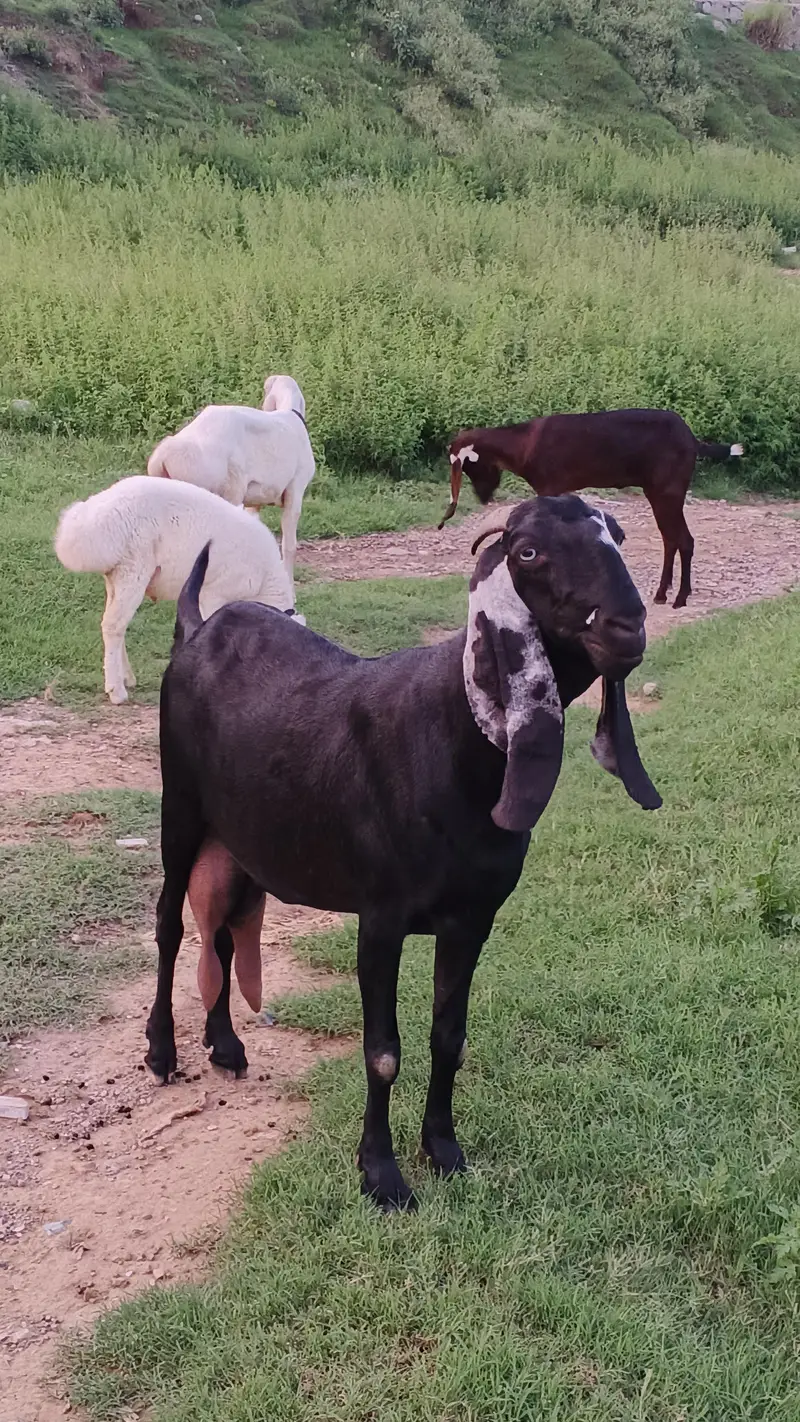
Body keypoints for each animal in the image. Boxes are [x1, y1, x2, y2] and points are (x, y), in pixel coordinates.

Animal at [54, 475, 297, 705]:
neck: (265, 582)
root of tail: (88, 519)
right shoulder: (213, 594)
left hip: (116, 576)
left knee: (115, 622)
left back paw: (126, 677)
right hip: (133, 569)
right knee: (113, 625)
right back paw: (116, 690)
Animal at [148, 494, 661, 1211]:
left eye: (617, 534)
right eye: (528, 552)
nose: (627, 627)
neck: (452, 738)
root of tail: (197, 630)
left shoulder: (472, 918)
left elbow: (450, 1038)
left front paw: (444, 1150)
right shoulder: (381, 918)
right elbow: (382, 1052)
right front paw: (382, 1175)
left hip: (242, 837)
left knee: (222, 925)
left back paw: (225, 1044)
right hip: (182, 808)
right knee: (169, 922)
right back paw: (162, 1052)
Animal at [439, 408, 743, 608]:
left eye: (470, 466)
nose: (484, 497)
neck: (526, 443)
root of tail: (692, 440)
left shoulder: (550, 486)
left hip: (668, 491)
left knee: (683, 540)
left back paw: (679, 598)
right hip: (658, 492)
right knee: (671, 539)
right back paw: (663, 593)